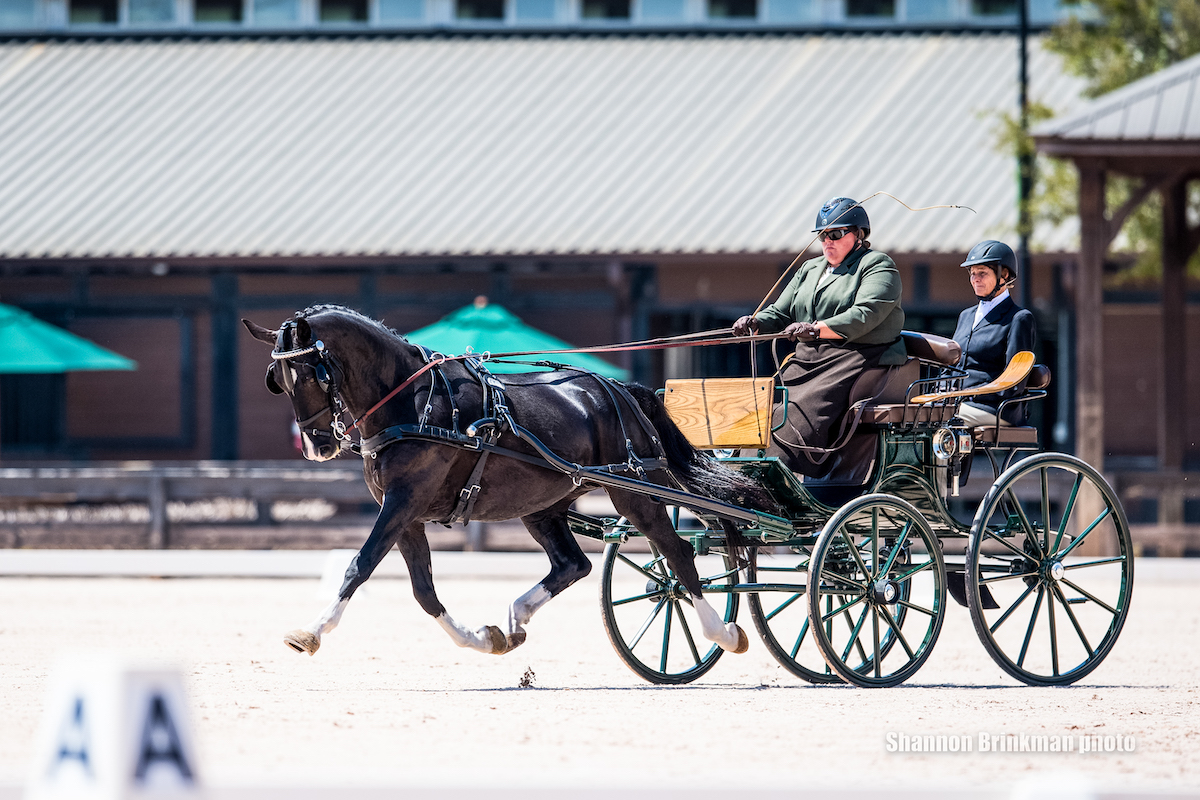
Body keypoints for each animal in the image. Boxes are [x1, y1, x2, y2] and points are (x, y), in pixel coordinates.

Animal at [241, 303, 777, 662]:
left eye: (314, 372)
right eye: (278, 379)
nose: (316, 446)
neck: (410, 402)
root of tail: (619, 390)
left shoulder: (402, 503)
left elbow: (360, 565)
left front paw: (312, 631)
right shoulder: (407, 514)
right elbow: (423, 591)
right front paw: (482, 638)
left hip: (635, 490)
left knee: (678, 553)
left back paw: (723, 633)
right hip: (544, 504)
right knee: (573, 565)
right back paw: (517, 617)